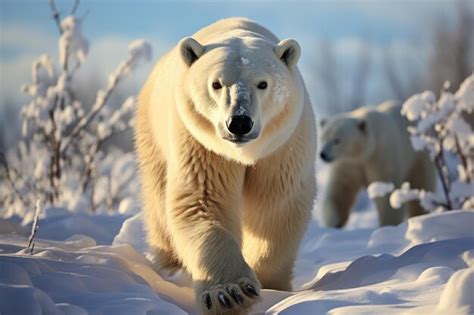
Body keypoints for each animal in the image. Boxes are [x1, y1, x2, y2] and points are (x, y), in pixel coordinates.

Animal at [135, 17, 316, 315]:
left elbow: (276, 207)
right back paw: (169, 267)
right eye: (216, 84)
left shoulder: (281, 146)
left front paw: (271, 286)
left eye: (262, 83)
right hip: (151, 130)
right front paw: (231, 294)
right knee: (158, 200)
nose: (239, 122)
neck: (242, 154)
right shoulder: (201, 144)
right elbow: (202, 200)